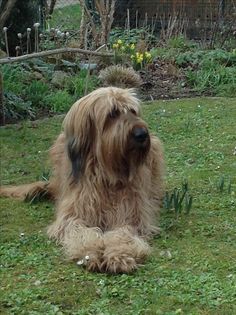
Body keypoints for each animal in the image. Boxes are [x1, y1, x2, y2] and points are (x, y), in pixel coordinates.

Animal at [0, 87, 164, 274]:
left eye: (133, 111)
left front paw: (119, 256)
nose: (142, 134)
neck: (107, 175)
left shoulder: (132, 216)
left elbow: (122, 234)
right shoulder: (73, 216)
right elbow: (83, 233)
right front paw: (90, 253)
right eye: (113, 113)